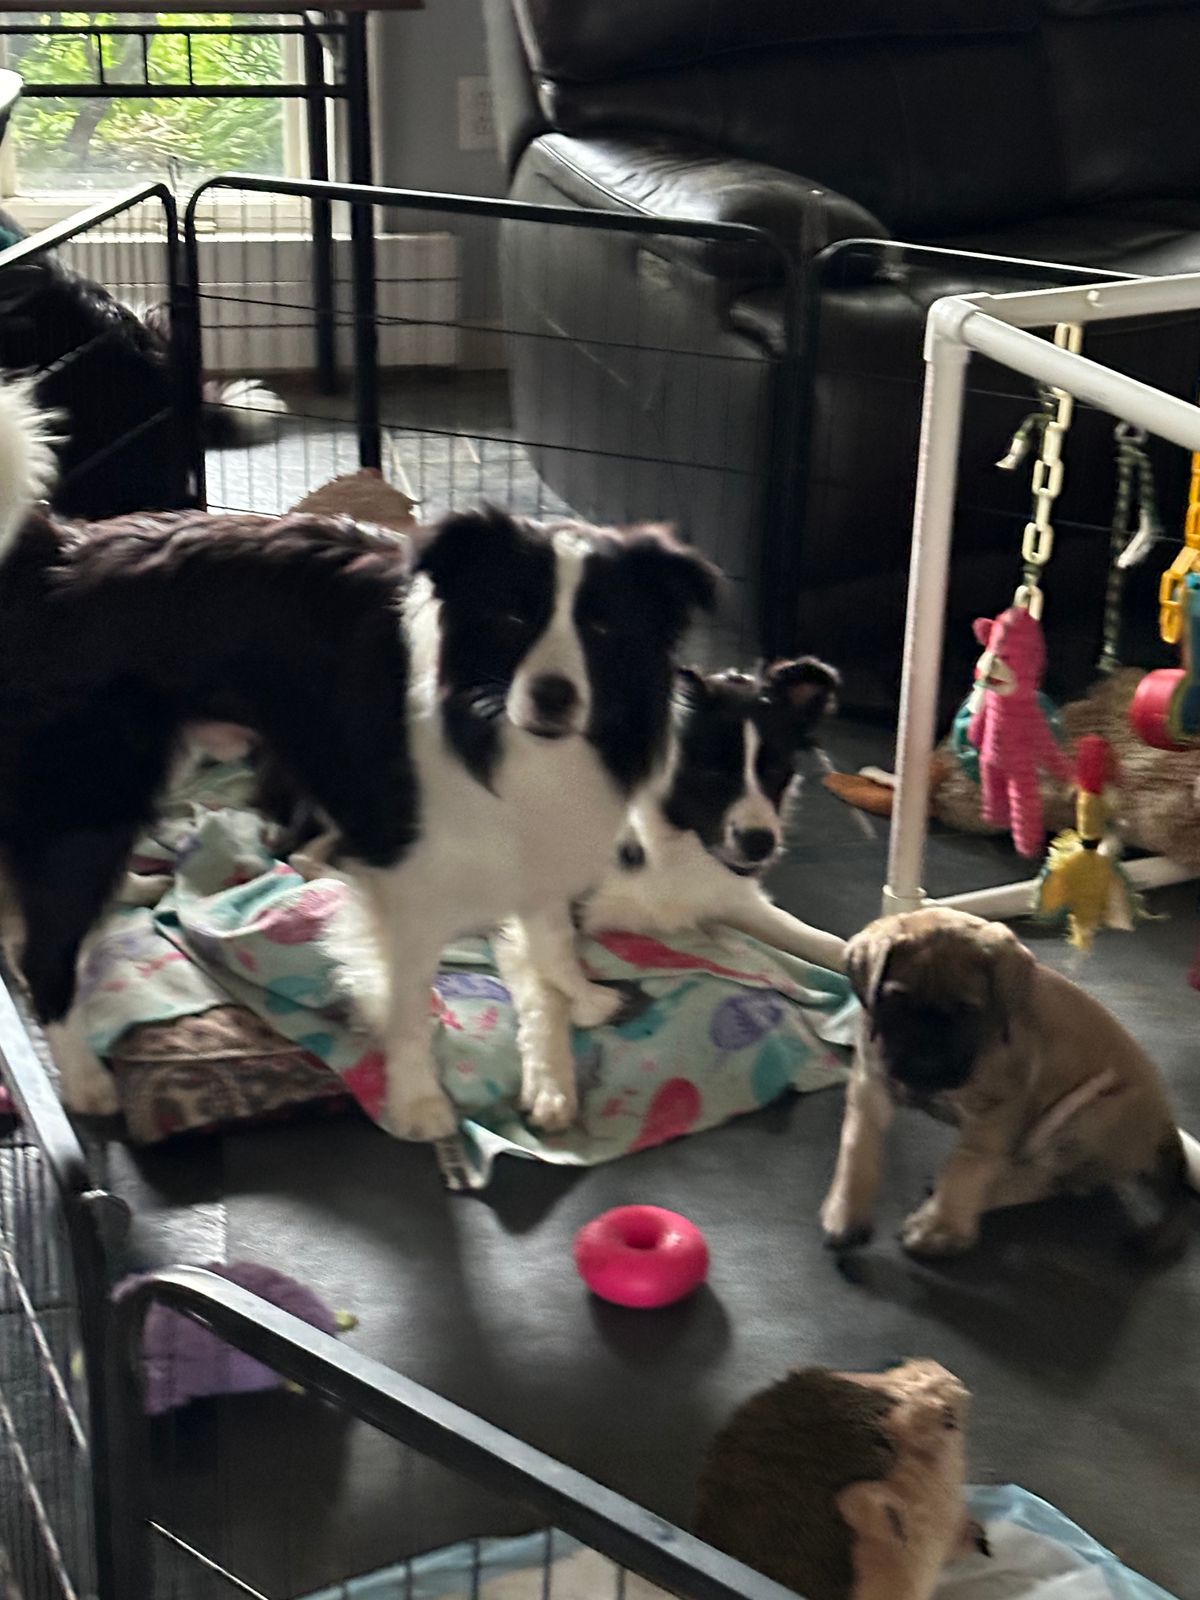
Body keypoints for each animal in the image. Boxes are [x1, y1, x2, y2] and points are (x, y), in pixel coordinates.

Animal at [0, 379, 716, 1137]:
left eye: (602, 626)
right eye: (514, 618)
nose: (553, 697)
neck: (488, 725)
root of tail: (55, 549)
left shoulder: (536, 840)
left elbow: (549, 934)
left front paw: (578, 996)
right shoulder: (410, 883)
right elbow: (408, 1003)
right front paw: (420, 1101)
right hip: (90, 797)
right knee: (43, 952)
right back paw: (82, 1079)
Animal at [821, 907, 1192, 1258]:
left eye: (968, 1011)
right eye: (894, 1003)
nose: (926, 1058)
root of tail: (1165, 1124)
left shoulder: (996, 1109)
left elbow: (966, 1165)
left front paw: (940, 1228)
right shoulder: (871, 1082)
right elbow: (857, 1146)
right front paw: (846, 1214)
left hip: (1090, 1117)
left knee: (1044, 1180)